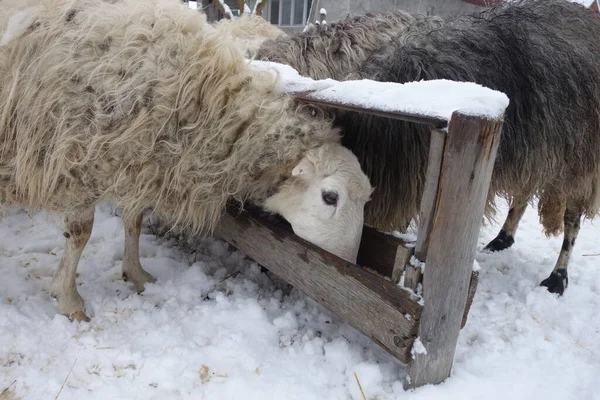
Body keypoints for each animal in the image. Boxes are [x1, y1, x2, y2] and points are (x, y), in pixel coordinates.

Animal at [0, 0, 372, 320]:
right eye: (330, 197)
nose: (350, 263)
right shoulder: (76, 157)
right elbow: (80, 234)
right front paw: (68, 298)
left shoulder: (139, 160)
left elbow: (134, 221)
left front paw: (135, 273)